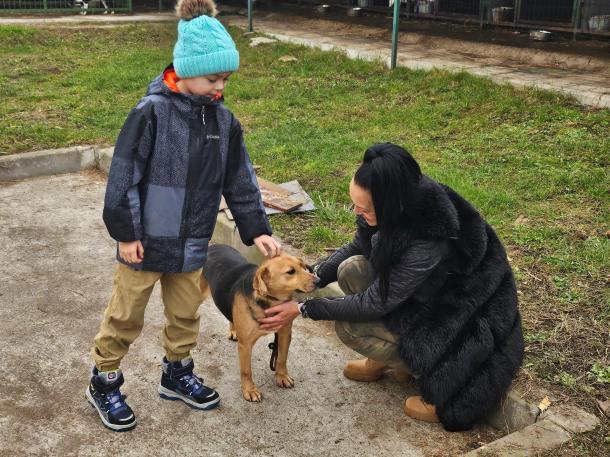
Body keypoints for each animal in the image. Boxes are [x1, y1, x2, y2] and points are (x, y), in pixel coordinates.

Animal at [201, 244, 316, 400]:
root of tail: (214, 245)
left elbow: (282, 359)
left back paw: (234, 330)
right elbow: (246, 371)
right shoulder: (245, 344)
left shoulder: (285, 333)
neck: (270, 300)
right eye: (290, 272)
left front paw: (282, 377)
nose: (318, 280)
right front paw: (249, 390)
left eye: (303, 266)